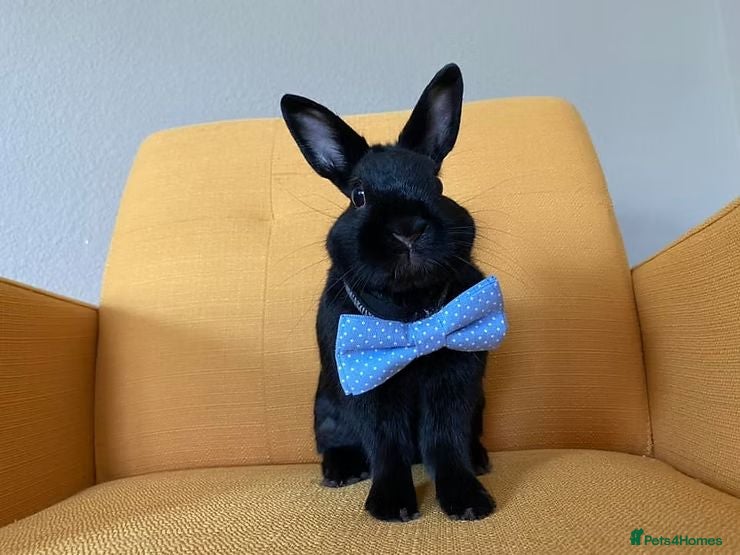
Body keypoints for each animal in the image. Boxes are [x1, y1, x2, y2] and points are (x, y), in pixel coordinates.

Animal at [280, 63, 494, 522]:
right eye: (359, 196)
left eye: (437, 184)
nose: (408, 230)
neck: (409, 316)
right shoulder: (370, 388)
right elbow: (387, 446)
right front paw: (391, 507)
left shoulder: (454, 383)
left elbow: (445, 441)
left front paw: (468, 502)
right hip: (326, 410)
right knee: (337, 444)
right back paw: (342, 471)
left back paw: (481, 459)